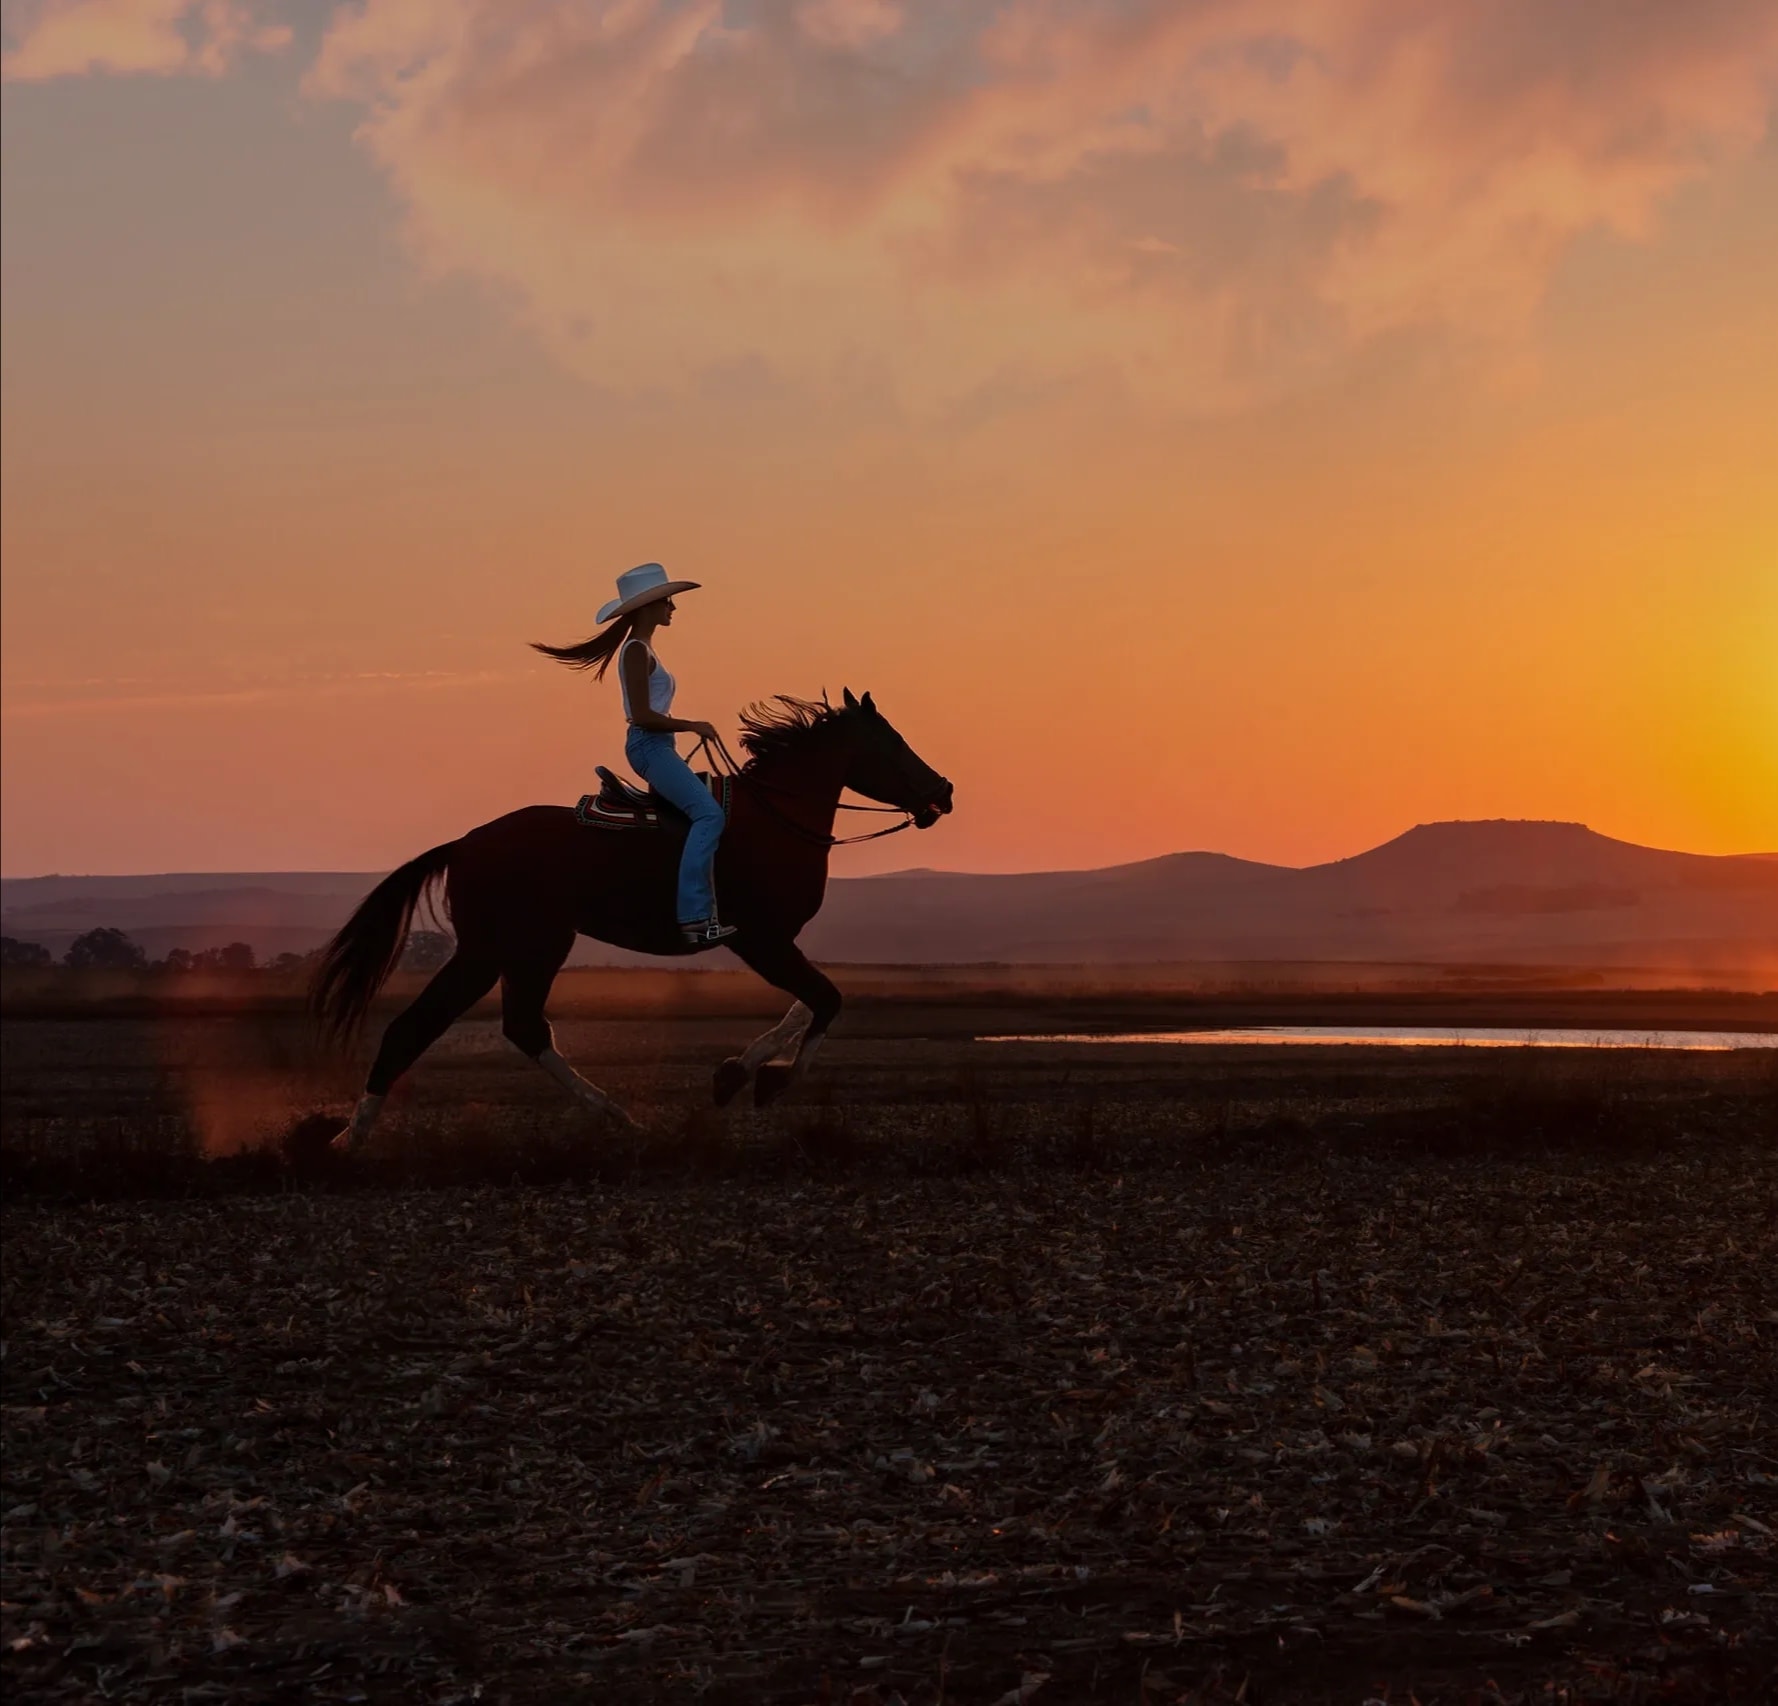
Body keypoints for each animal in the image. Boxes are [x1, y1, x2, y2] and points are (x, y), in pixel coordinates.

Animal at [311, 689, 952, 1150]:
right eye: (891, 741)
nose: (942, 791)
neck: (776, 818)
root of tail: (464, 844)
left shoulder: (772, 945)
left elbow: (808, 1003)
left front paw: (740, 1073)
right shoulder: (761, 941)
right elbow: (825, 999)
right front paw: (755, 1080)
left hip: (517, 951)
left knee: (510, 1027)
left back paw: (619, 1118)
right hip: (506, 949)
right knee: (435, 1027)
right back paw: (351, 1140)